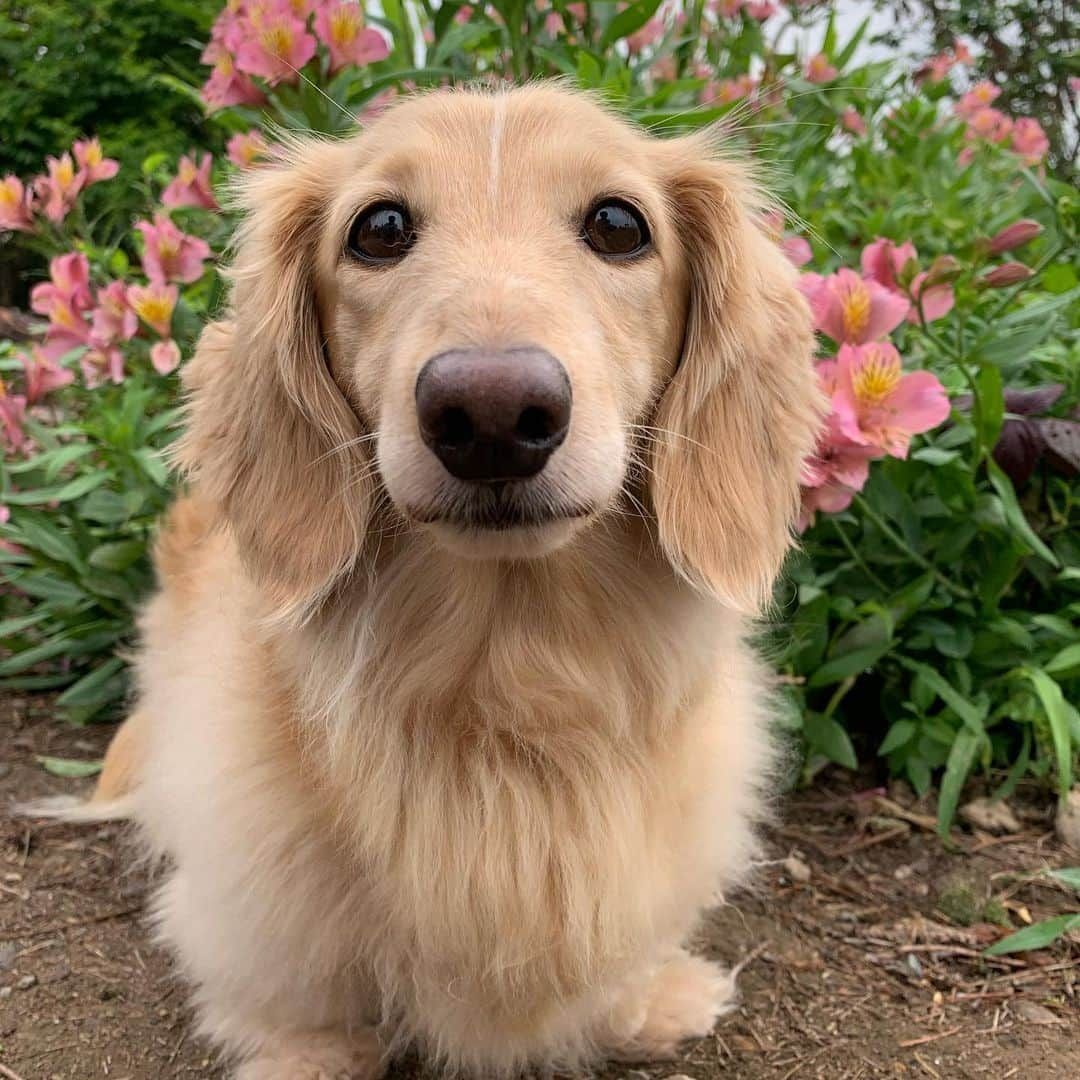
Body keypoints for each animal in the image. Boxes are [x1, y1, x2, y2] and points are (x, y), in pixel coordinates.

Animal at [39, 79, 816, 1075]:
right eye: (379, 228)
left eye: (617, 223)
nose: (491, 413)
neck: (502, 683)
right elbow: (300, 998)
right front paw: (310, 1053)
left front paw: (646, 999)